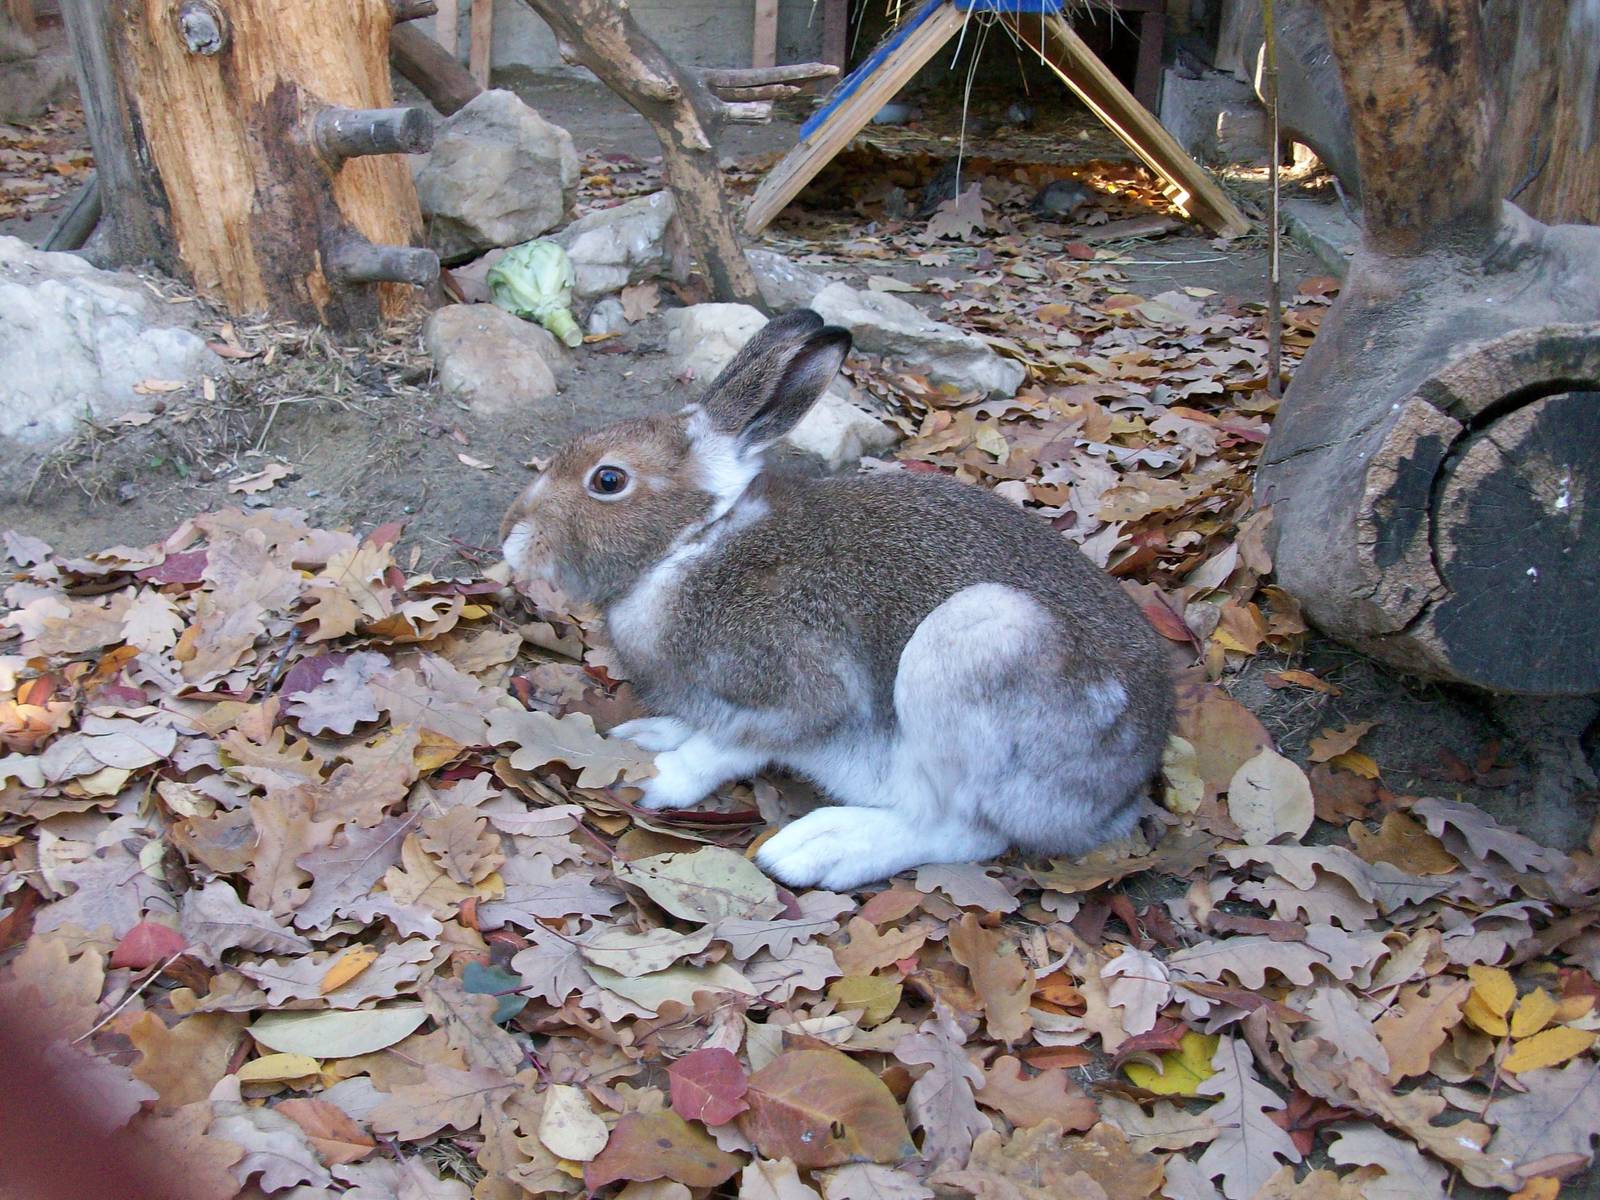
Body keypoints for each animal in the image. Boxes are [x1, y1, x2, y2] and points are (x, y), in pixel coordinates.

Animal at [499, 310, 1174, 892]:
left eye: (608, 480)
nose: (510, 535)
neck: (693, 540)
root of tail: (1127, 786)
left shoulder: (799, 690)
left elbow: (728, 745)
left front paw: (657, 777)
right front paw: (646, 736)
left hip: (982, 639)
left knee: (960, 828)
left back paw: (821, 849)